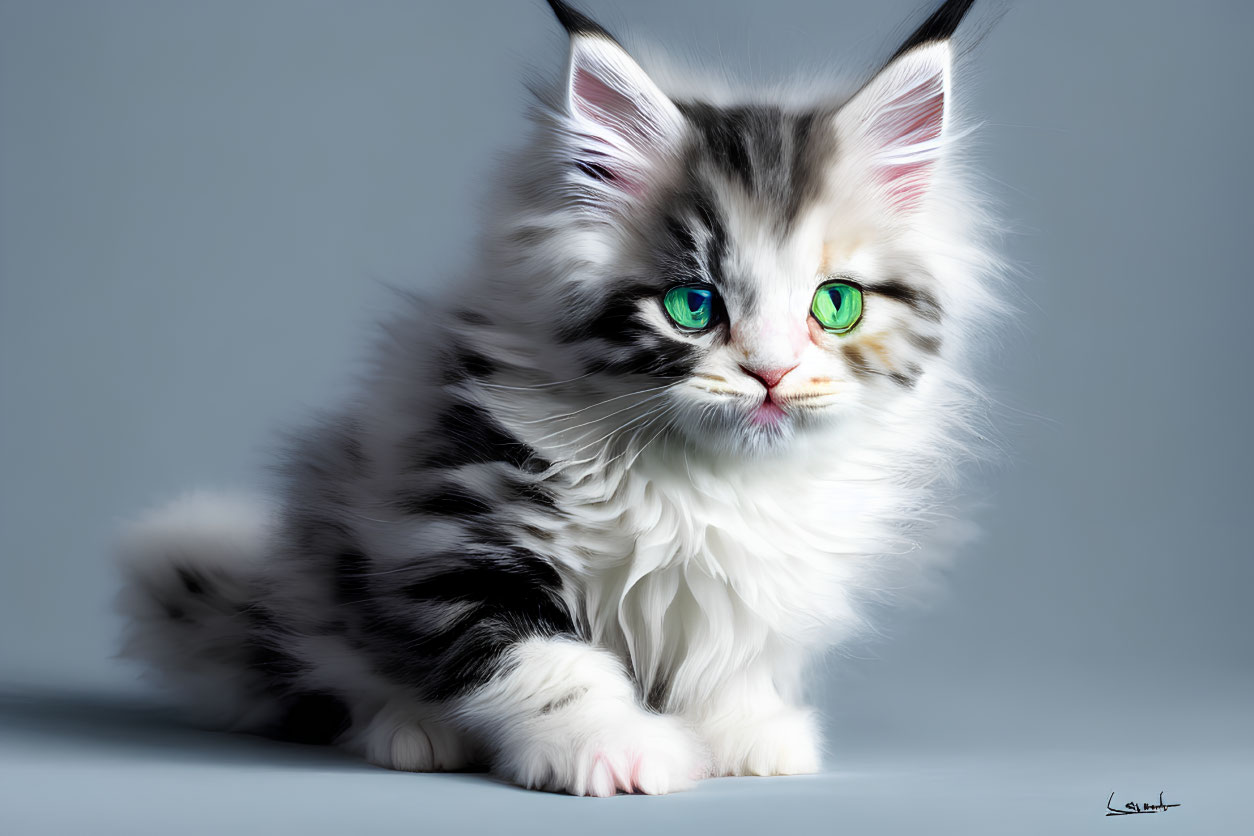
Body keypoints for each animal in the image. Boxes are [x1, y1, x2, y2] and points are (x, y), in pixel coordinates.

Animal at [115, 0, 998, 797]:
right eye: (693, 306)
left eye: (834, 304)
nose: (772, 374)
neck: (707, 483)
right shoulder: (453, 530)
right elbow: (548, 665)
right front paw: (619, 752)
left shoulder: (756, 584)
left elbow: (733, 659)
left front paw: (744, 730)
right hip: (326, 563)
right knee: (345, 668)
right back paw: (412, 730)